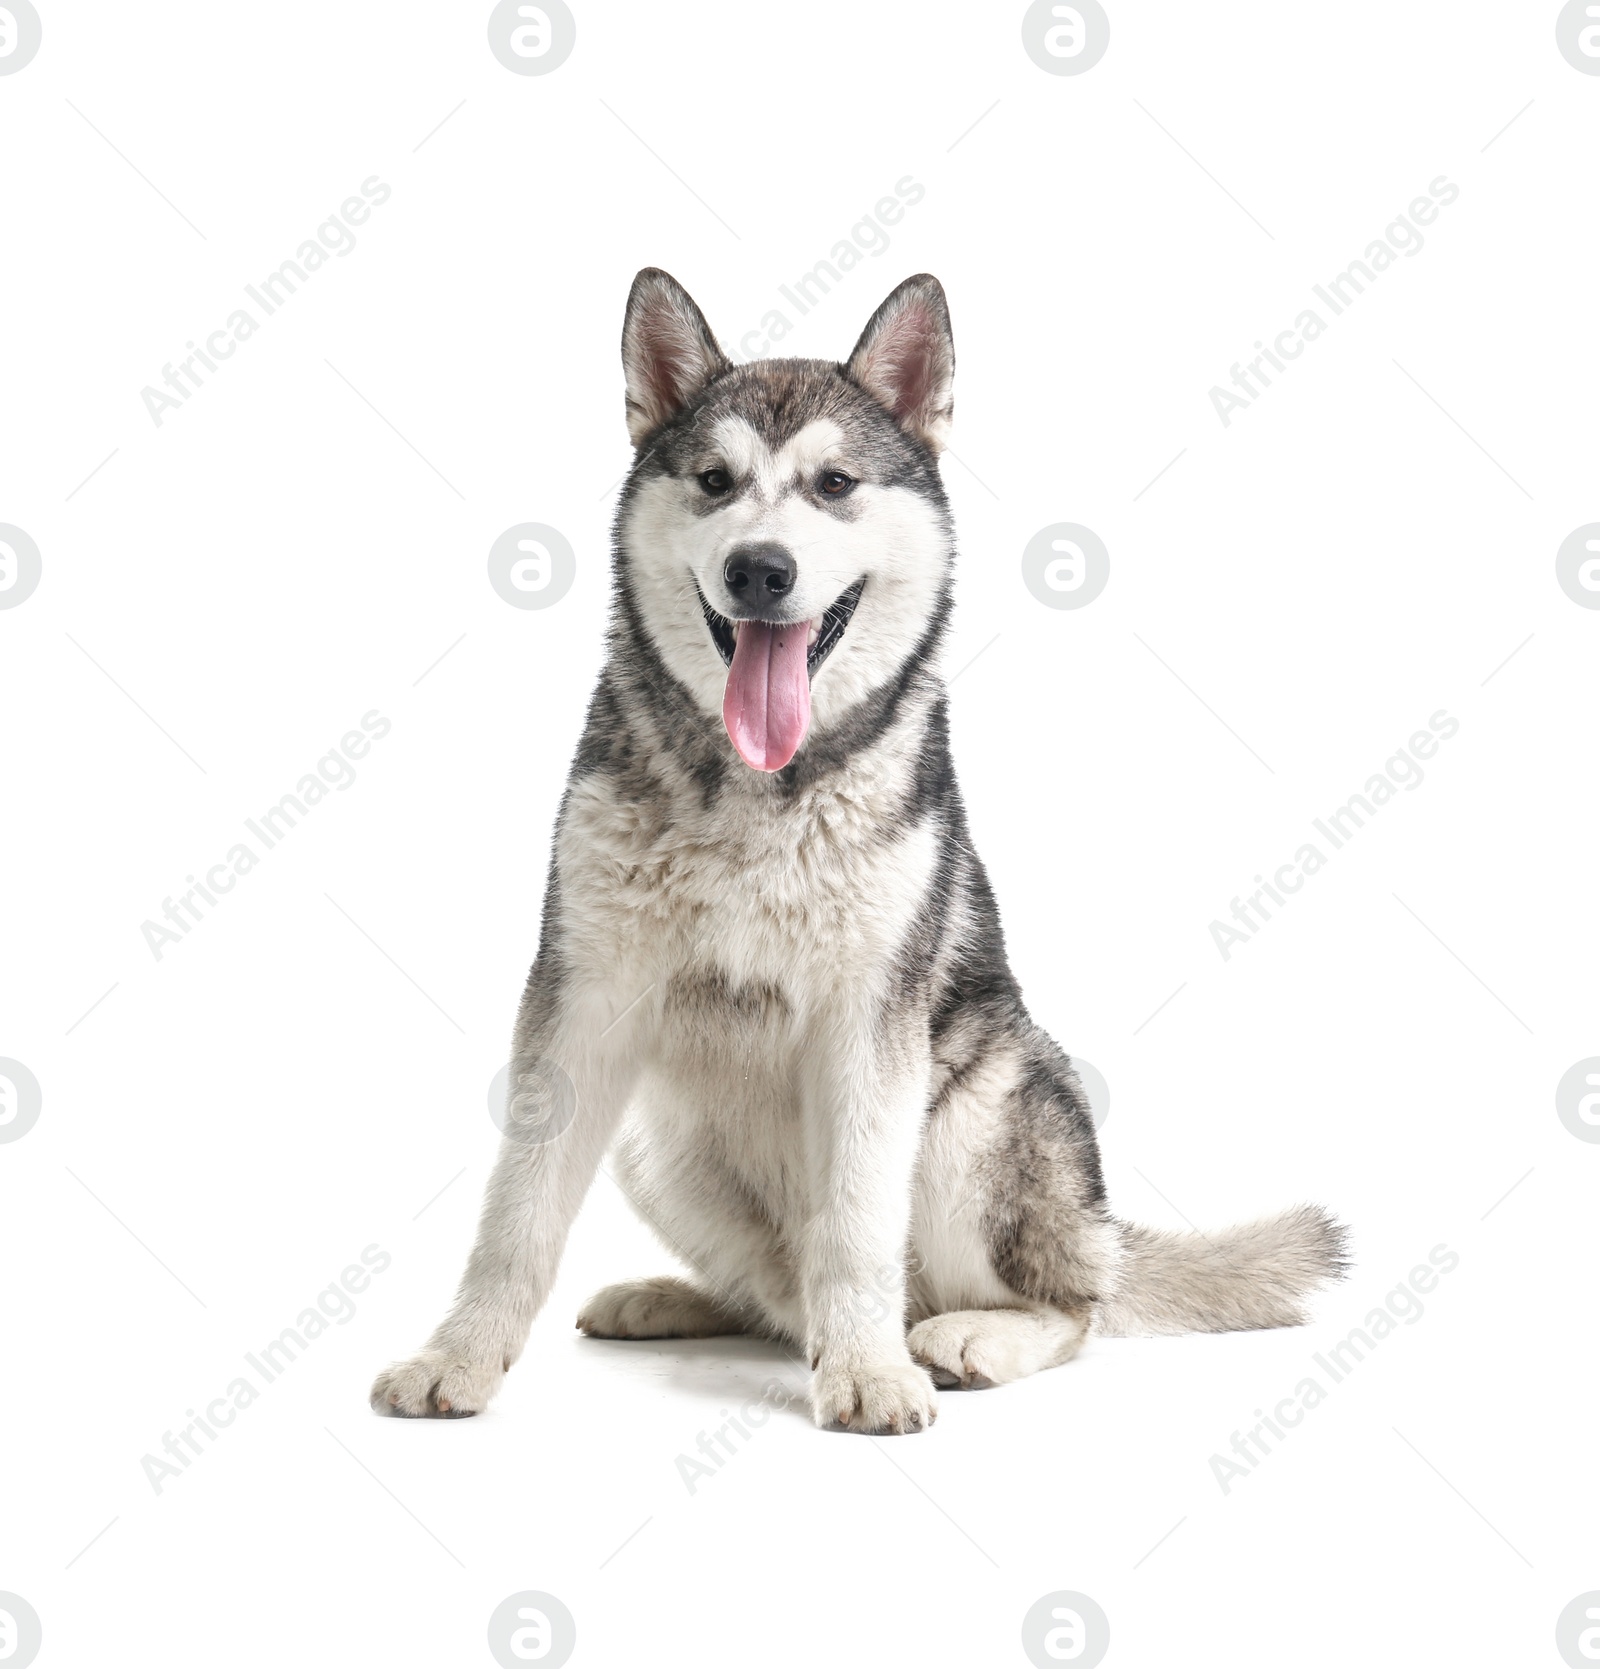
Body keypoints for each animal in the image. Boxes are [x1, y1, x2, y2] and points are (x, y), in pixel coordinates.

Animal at [368, 273, 1348, 1435]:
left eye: (834, 484)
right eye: (714, 482)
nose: (759, 568)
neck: (760, 789)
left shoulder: (869, 1028)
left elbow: (854, 1227)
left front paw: (872, 1374)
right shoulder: (581, 1000)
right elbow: (516, 1214)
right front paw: (460, 1355)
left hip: (977, 1122)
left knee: (1072, 1305)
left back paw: (968, 1334)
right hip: (659, 1141)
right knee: (776, 1295)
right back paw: (683, 1300)